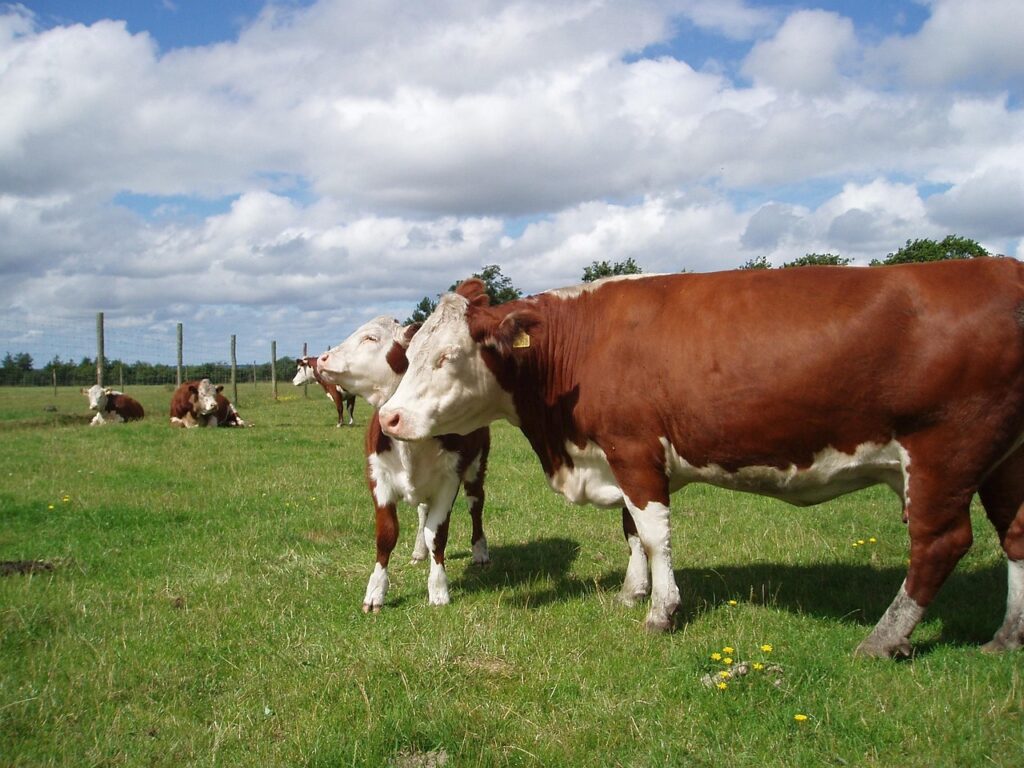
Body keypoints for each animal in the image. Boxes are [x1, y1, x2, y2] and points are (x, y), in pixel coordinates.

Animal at [317, 316, 490, 612]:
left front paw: (438, 589)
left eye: (371, 338)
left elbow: (437, 534)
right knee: (422, 512)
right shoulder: (378, 477)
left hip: (476, 466)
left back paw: (479, 550)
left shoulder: (449, 480)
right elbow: (386, 535)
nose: (322, 358)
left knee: (475, 504)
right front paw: (375, 592)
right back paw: (419, 552)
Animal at [378, 258, 1024, 658]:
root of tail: (1001, 268)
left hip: (945, 451)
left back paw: (884, 639)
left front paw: (661, 612)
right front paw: (632, 592)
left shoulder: (635, 448)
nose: (389, 418)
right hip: (1004, 461)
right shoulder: (623, 457)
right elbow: (631, 530)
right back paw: (1006, 635)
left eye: (447, 357)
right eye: (408, 355)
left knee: (941, 543)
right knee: (1013, 534)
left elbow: (654, 532)